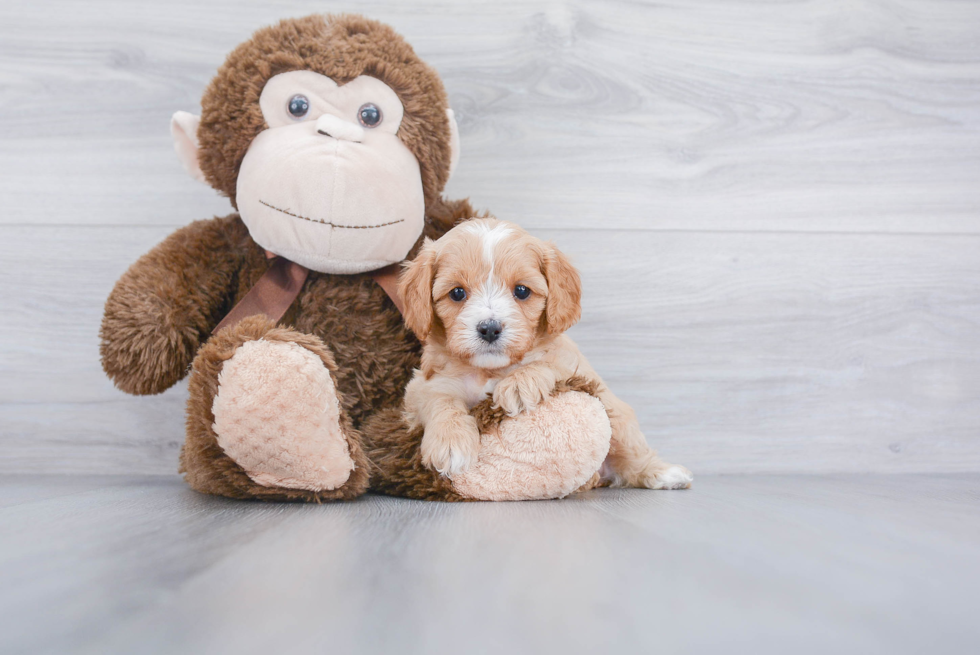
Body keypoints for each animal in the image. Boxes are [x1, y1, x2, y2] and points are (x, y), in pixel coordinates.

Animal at [394, 218, 692, 490]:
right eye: (457, 293)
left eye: (522, 291)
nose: (489, 329)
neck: (491, 370)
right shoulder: (424, 386)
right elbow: (440, 401)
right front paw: (450, 443)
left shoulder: (574, 365)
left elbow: (548, 362)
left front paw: (517, 384)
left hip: (616, 416)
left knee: (633, 456)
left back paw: (666, 474)